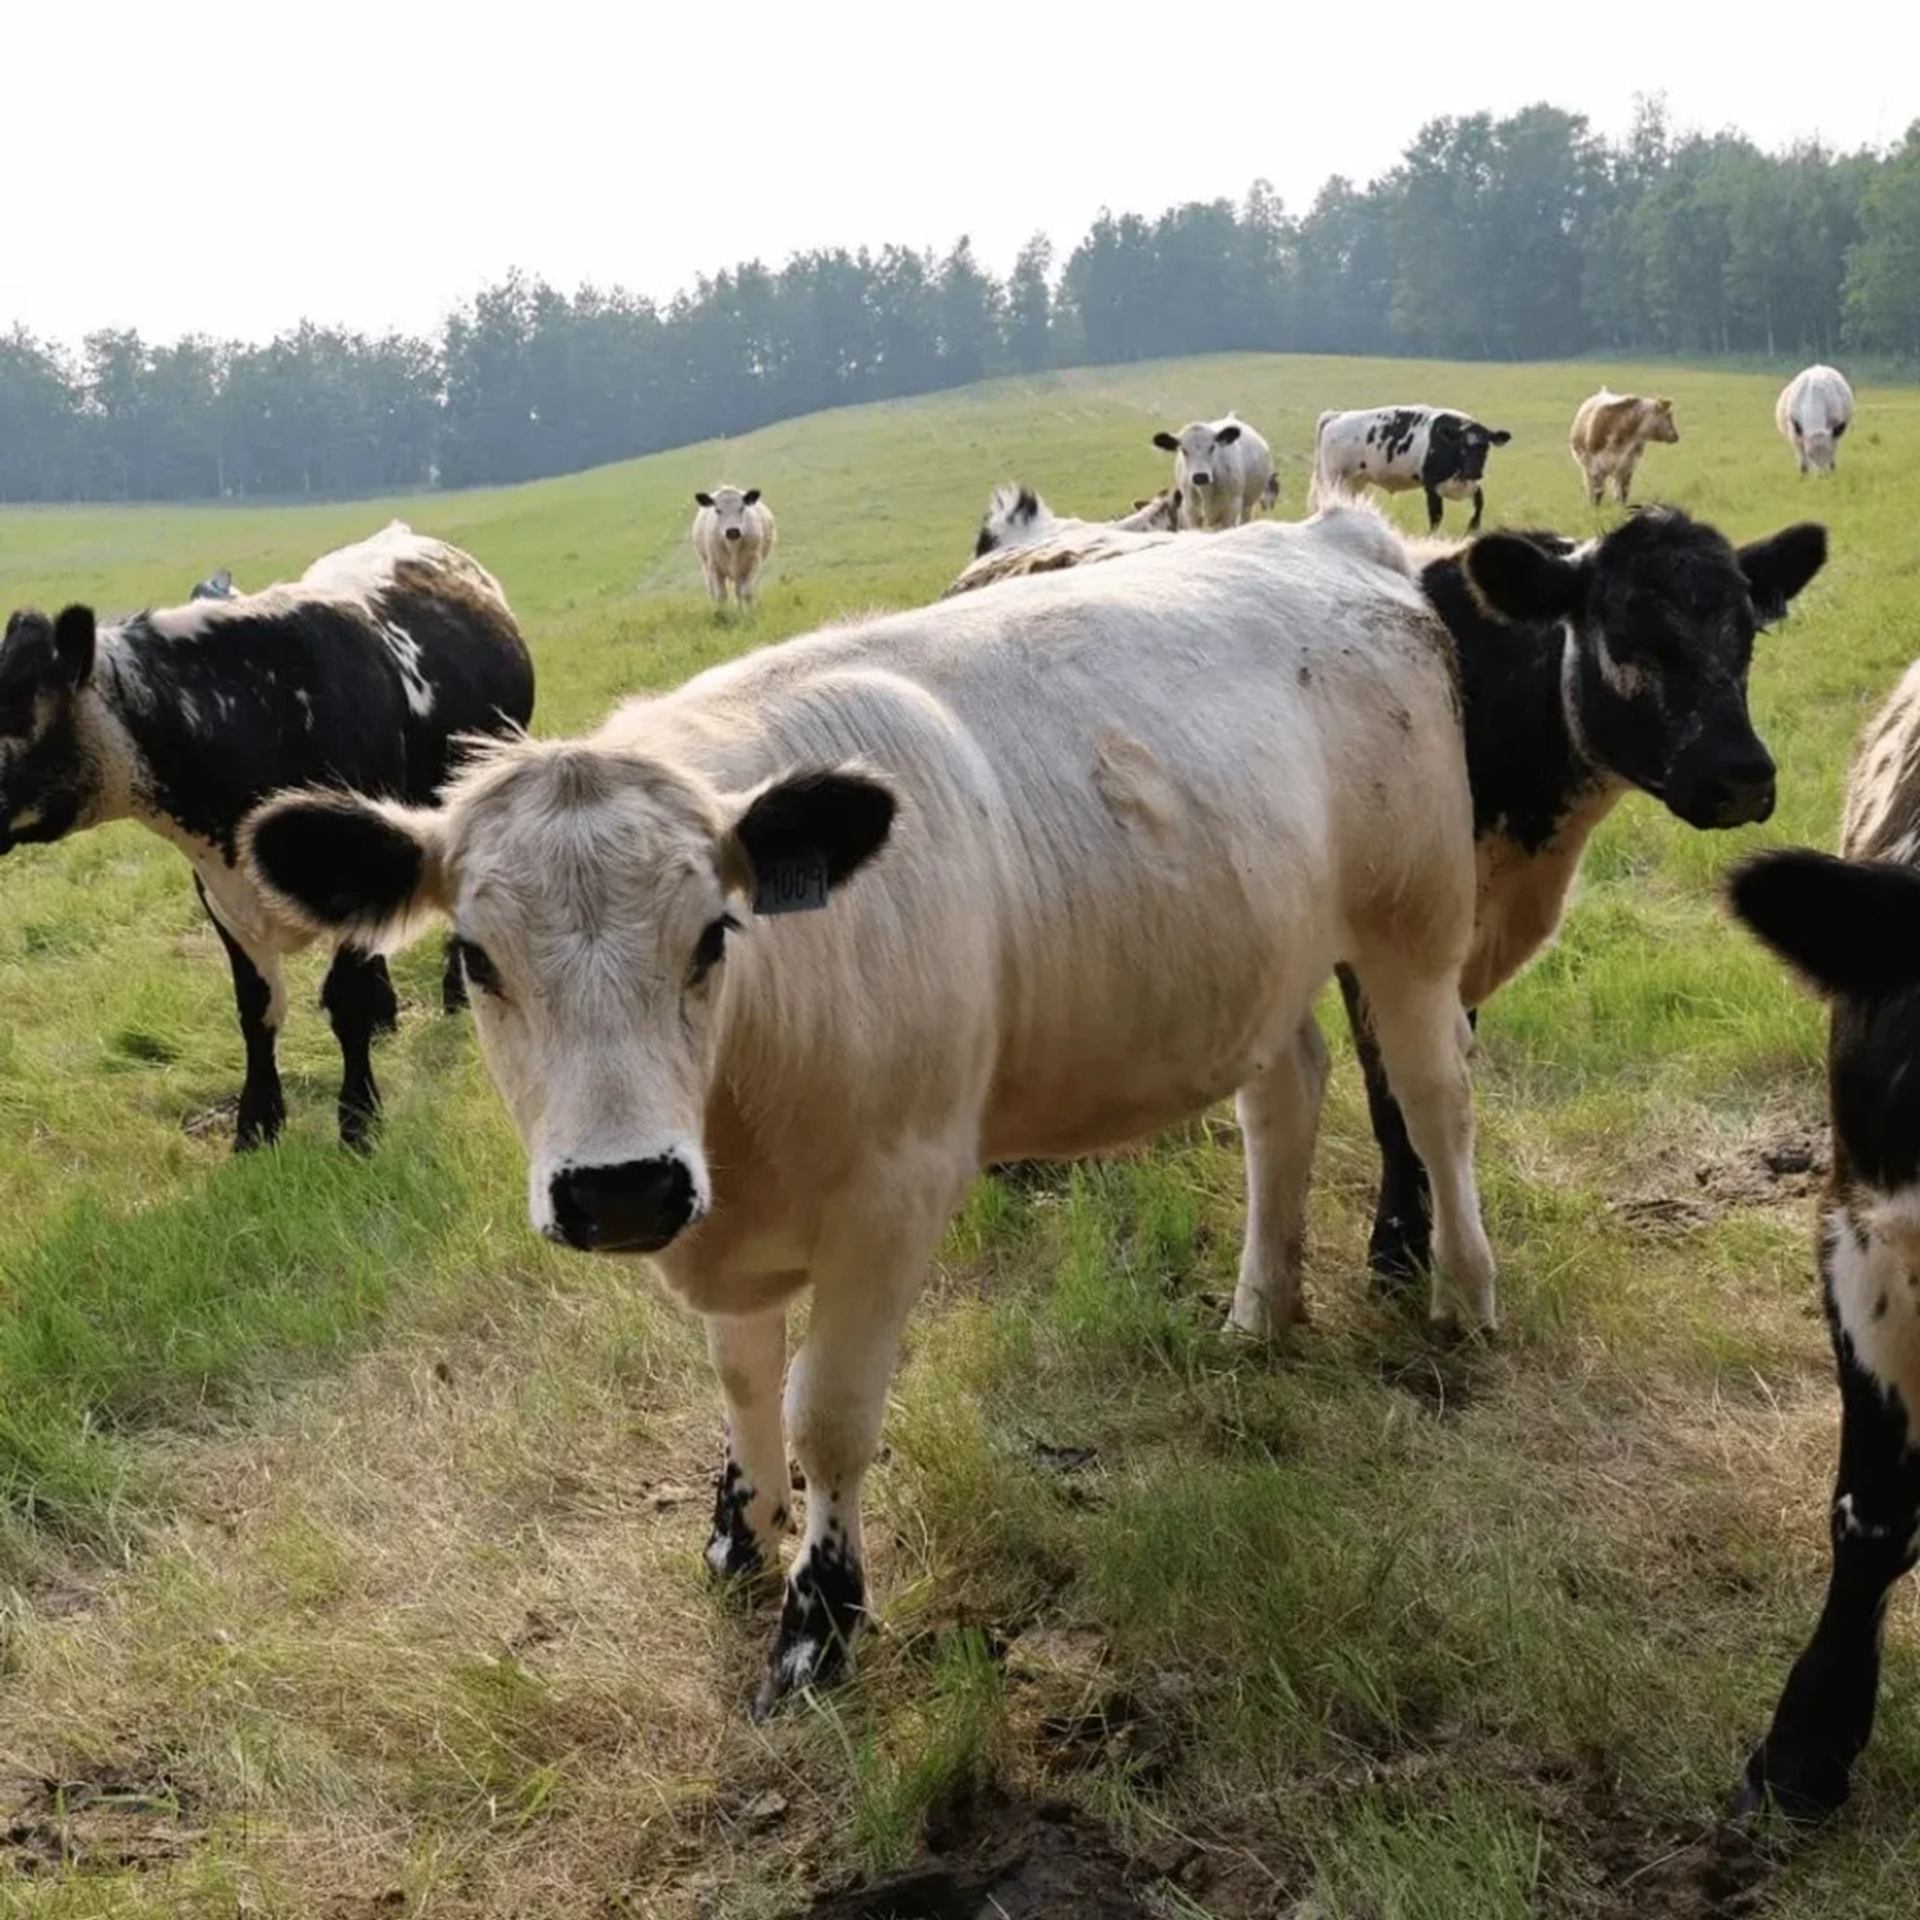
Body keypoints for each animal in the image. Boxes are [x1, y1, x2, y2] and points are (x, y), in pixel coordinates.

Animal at [0, 523, 535, 1151]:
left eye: (17, 717)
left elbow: (345, 1004)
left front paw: (358, 1121)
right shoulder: (218, 890)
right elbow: (255, 1010)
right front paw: (256, 1124)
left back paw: (452, 993)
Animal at [241, 506, 1501, 1716]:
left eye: (714, 936)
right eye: (477, 958)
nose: (621, 1188)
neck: (743, 1110)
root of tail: (1331, 536)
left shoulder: (896, 1198)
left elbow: (828, 1415)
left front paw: (819, 1620)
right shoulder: (719, 1217)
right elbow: (743, 1381)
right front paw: (740, 1531)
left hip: (1415, 923)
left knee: (1435, 1100)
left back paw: (1464, 1297)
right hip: (1259, 963)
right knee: (1284, 1098)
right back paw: (1259, 1311)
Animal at [1309, 407, 1512, 533]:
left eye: (1486, 447)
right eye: (1462, 447)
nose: (1474, 472)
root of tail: (1337, 416)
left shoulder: (1468, 485)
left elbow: (1480, 502)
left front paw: (1473, 527)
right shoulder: (1431, 485)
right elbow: (1436, 516)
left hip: (1355, 480)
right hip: (1332, 476)